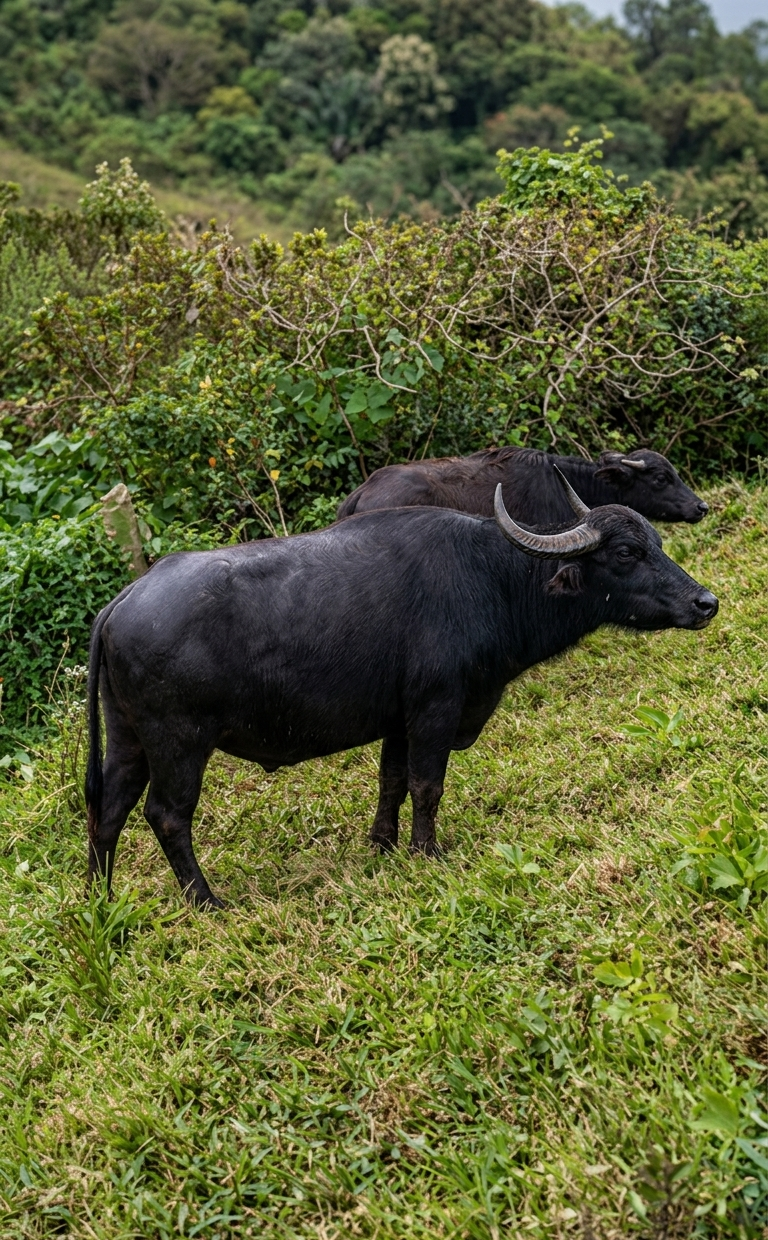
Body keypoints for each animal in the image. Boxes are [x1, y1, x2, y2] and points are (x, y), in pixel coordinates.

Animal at [86, 472, 717, 907]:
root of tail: (123, 601)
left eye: (658, 543)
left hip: (127, 737)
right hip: (179, 742)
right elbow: (426, 783)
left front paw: (383, 844)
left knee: (107, 808)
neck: (496, 580)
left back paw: (101, 896)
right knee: (167, 815)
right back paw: (207, 900)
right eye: (627, 552)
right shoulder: (436, 708)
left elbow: (390, 781)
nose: (705, 602)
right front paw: (426, 851)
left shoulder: (397, 718)